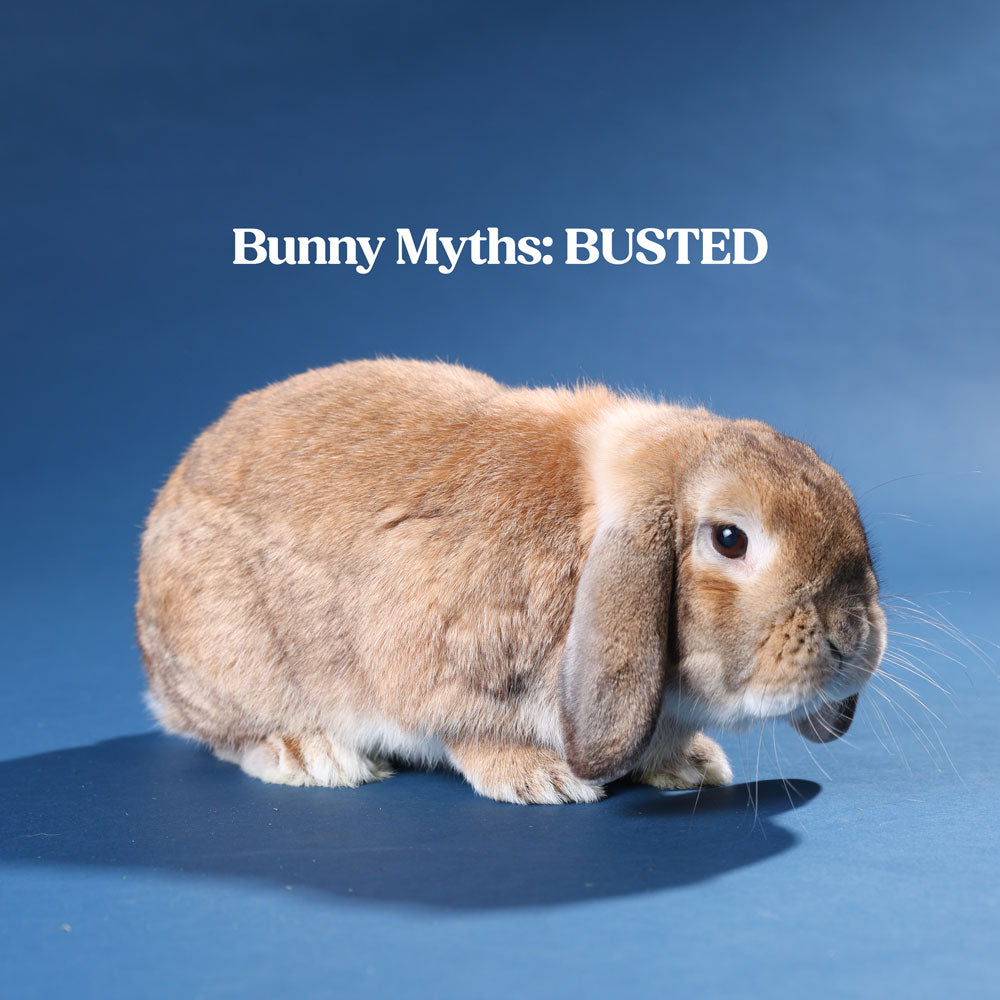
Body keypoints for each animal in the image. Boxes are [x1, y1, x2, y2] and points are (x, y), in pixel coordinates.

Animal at [136, 358, 886, 804]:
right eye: (731, 540)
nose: (853, 638)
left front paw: (690, 766)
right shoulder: (446, 668)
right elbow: (473, 733)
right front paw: (545, 780)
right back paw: (310, 755)